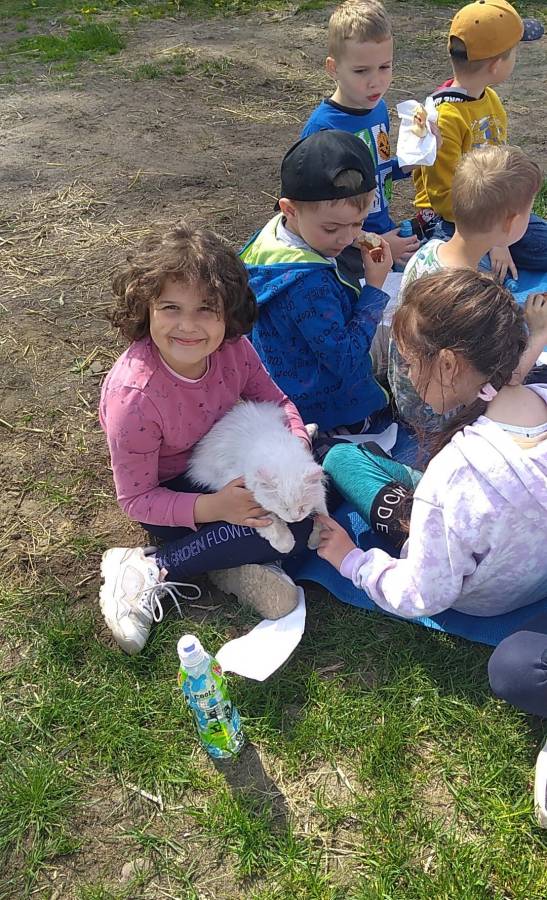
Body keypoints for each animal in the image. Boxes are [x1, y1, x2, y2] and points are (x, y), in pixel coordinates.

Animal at [187, 401, 327, 554]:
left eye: (302, 507)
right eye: (283, 508)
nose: (295, 519)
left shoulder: (319, 495)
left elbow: (323, 517)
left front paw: (317, 540)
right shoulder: (239, 490)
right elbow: (272, 525)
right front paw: (286, 544)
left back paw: (311, 428)